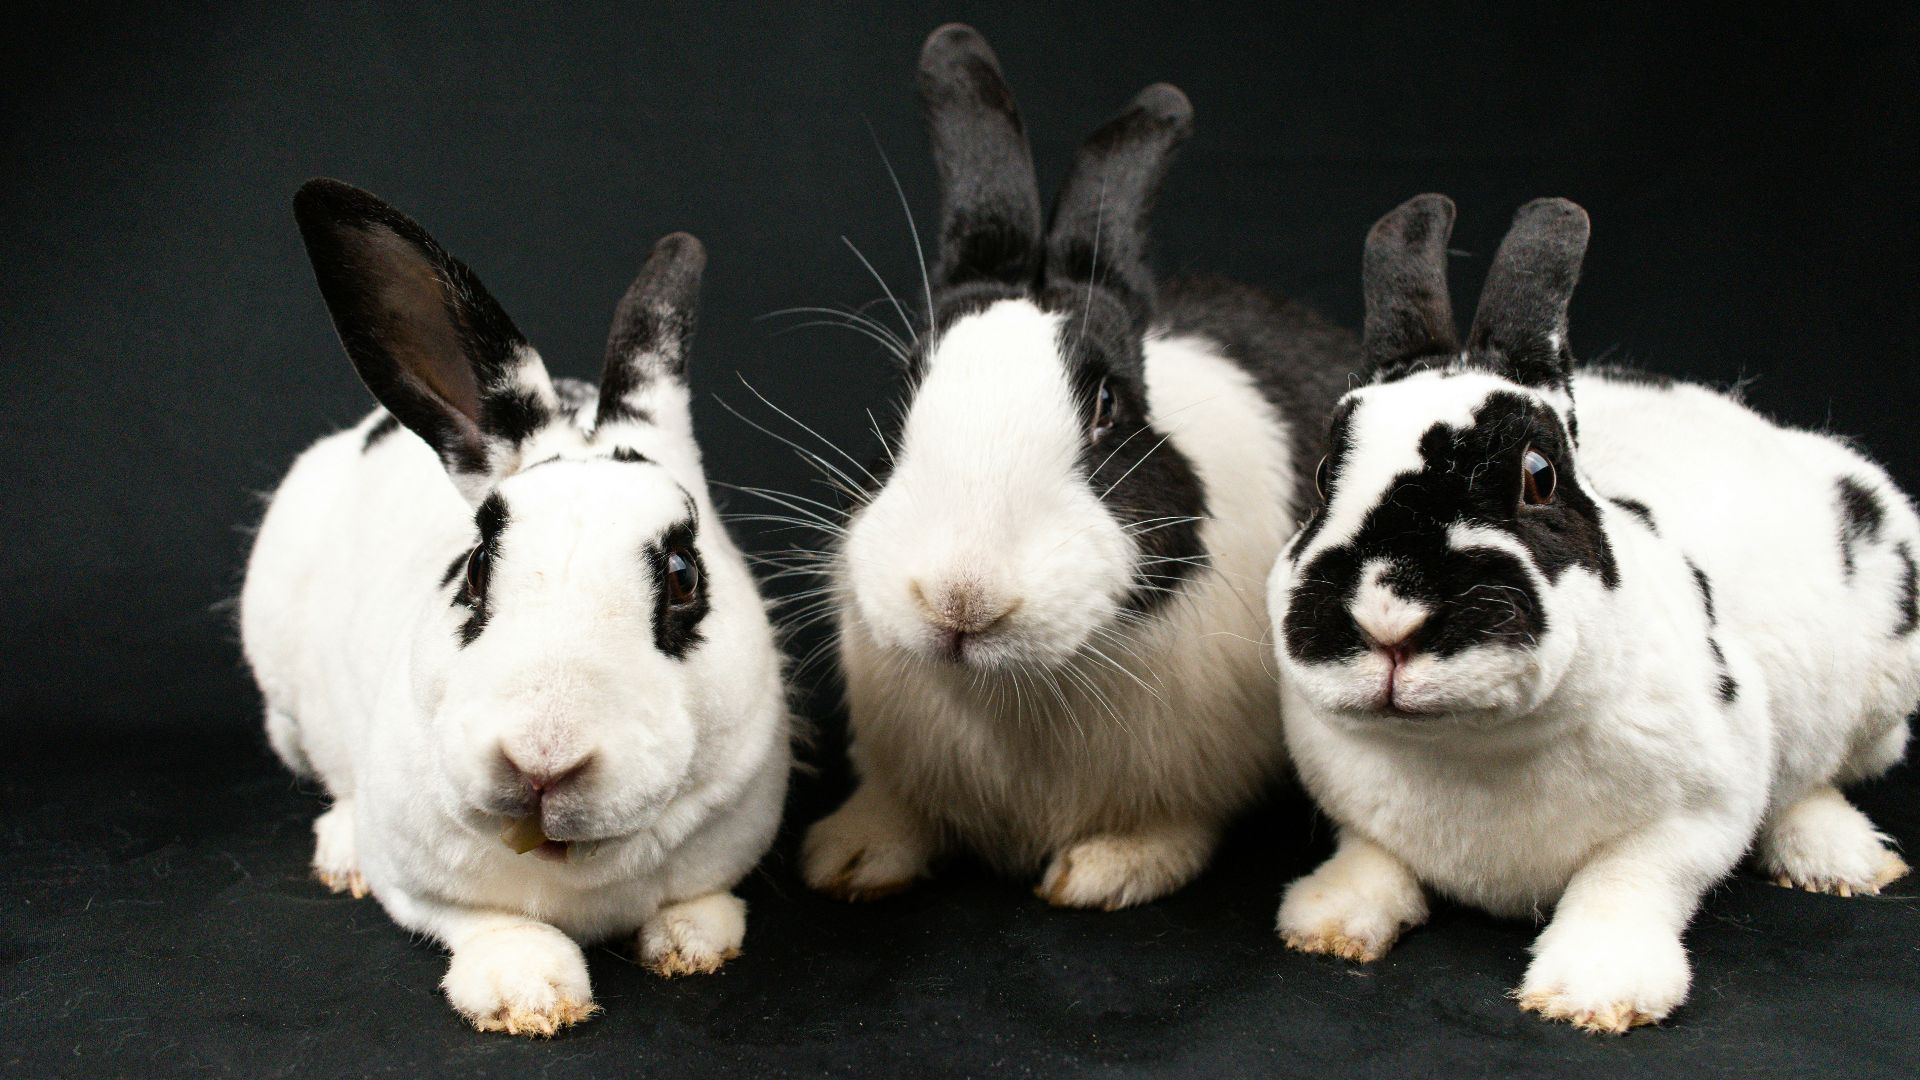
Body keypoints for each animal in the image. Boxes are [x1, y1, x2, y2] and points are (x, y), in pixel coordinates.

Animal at [240, 179, 790, 1036]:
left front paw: (692, 945)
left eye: (683, 576)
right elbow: (485, 922)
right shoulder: (420, 882)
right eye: (473, 569)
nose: (542, 761)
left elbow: (701, 899)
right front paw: (526, 993)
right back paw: (340, 852)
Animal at [799, 24, 1358, 911]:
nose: (960, 598)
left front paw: (1104, 872)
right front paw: (848, 856)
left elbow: (1169, 828)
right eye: (907, 386)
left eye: (1108, 407)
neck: (1012, 691)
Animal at [1267, 193, 1918, 1033]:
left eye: (1539, 476)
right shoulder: (1354, 809)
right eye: (1323, 477)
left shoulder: (1697, 815)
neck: (1468, 748)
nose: (1388, 618)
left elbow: (1625, 884)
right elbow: (1371, 857)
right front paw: (1326, 922)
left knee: (1819, 778)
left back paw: (1844, 861)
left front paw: (1596, 993)